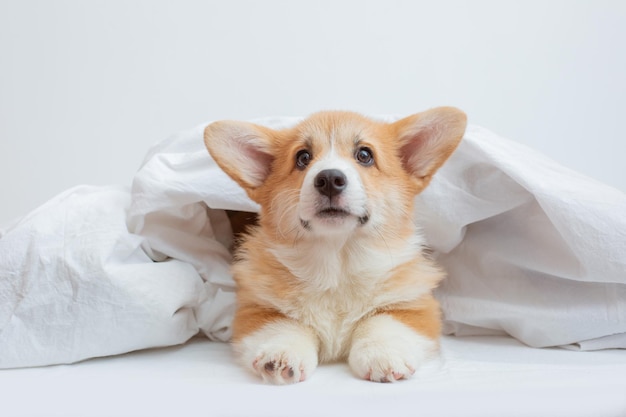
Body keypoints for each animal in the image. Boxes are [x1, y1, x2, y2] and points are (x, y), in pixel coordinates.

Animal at [204, 108, 464, 384]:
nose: (329, 178)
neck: (337, 263)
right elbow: (282, 324)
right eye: (302, 157)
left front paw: (383, 354)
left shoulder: (416, 305)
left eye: (364, 155)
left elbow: (384, 321)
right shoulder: (255, 307)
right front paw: (281, 353)